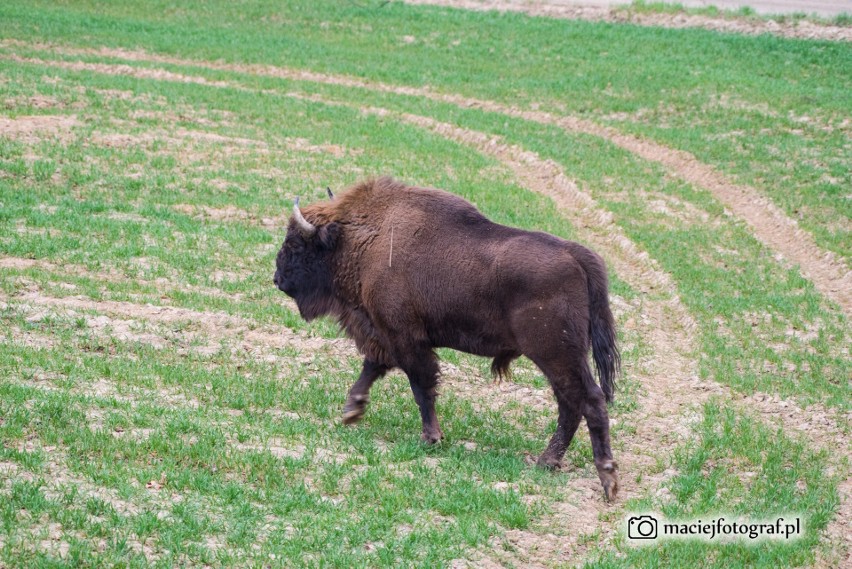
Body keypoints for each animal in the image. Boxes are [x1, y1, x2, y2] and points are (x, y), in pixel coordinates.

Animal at [276, 176, 624, 496]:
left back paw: (604, 477)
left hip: (555, 354)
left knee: (586, 400)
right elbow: (373, 367)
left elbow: (421, 386)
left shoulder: (405, 338)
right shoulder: (386, 337)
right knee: (570, 404)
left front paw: (431, 437)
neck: (365, 237)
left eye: (296, 244)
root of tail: (575, 254)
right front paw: (352, 412)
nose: (277, 278)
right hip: (561, 357)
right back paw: (547, 462)